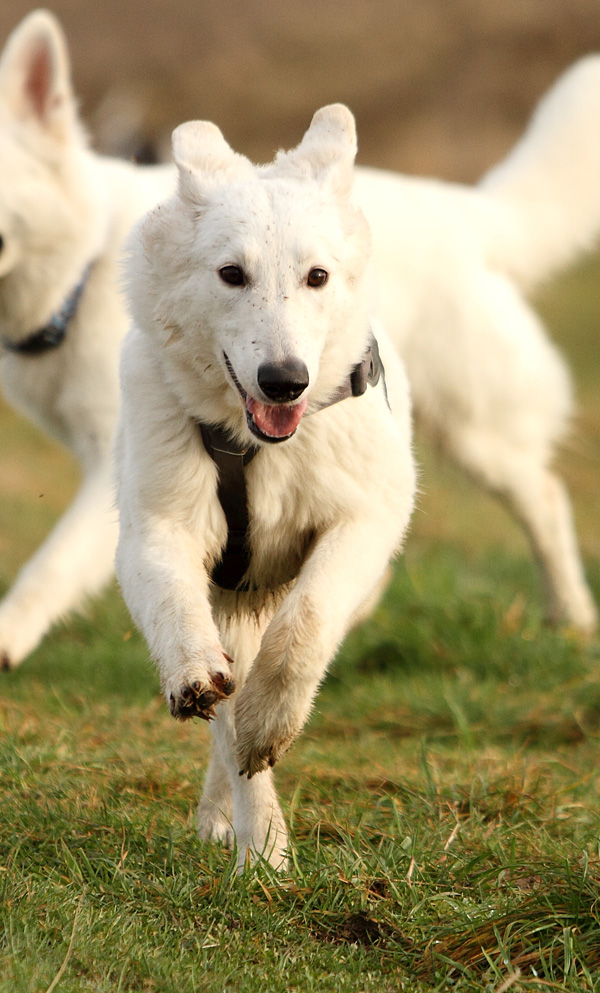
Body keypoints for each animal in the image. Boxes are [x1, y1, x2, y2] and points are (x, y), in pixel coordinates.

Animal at [0, 9, 598, 672]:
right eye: (231, 275)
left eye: (316, 277)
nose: (285, 383)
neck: (83, 265)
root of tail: (460, 208)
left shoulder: (110, 468)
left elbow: (49, 568)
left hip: (477, 435)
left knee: (544, 497)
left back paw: (572, 615)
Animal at [115, 105, 417, 868]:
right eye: (231, 273)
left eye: (317, 276)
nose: (285, 381)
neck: (254, 448)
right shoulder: (155, 529)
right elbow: (180, 618)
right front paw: (194, 673)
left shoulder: (363, 520)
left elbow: (304, 628)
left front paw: (268, 722)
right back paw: (256, 841)